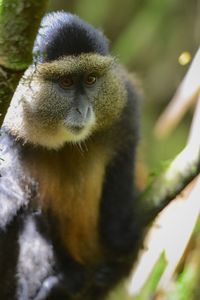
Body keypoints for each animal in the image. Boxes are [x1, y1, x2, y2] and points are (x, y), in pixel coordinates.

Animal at [0, 11, 141, 300]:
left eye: (90, 80)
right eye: (65, 82)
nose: (83, 110)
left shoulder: (125, 108)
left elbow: (123, 160)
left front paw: (119, 236)